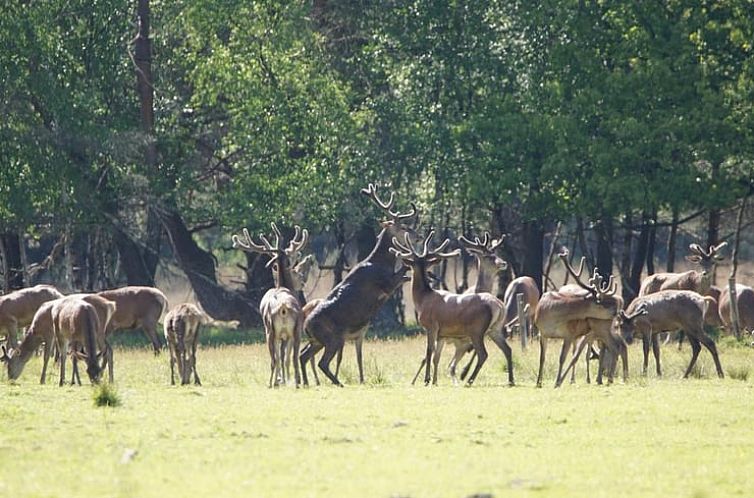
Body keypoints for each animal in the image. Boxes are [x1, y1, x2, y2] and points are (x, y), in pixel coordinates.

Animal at [232, 222, 308, 390]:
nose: (302, 283)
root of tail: (284, 307)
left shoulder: (283, 334)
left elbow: (281, 357)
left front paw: (282, 380)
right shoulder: (288, 334)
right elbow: (284, 357)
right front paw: (284, 380)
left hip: (272, 330)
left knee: (278, 358)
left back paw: (275, 382)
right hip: (289, 330)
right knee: (289, 357)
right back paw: (286, 382)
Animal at [296, 185, 414, 388]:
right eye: (402, 226)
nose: (417, 235)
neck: (381, 262)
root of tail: (306, 326)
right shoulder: (385, 283)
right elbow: (402, 274)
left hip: (317, 341)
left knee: (303, 355)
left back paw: (307, 382)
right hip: (332, 337)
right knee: (321, 362)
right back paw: (338, 383)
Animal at [390, 230, 516, 386]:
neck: (423, 300)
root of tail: (499, 305)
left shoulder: (431, 326)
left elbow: (428, 351)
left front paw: (426, 380)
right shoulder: (442, 334)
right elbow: (436, 357)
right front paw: (434, 381)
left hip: (477, 329)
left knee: (483, 354)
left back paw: (469, 380)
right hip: (495, 329)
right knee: (507, 350)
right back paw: (511, 380)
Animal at [532, 251, 624, 388]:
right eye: (602, 302)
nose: (618, 310)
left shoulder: (569, 334)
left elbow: (562, 358)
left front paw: (557, 382)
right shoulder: (541, 333)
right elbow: (542, 358)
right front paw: (538, 383)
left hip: (601, 328)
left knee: (614, 347)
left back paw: (607, 380)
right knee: (610, 348)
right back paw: (604, 379)